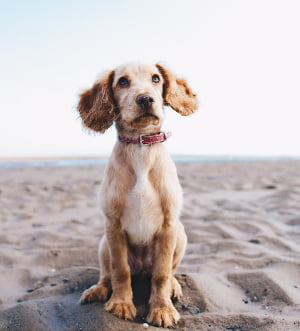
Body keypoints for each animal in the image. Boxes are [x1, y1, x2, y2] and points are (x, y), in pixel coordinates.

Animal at [78, 63, 198, 330]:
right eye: (122, 82)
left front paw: (162, 309)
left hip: (181, 235)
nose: (145, 99)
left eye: (156, 79)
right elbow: (120, 270)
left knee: (168, 272)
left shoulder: (169, 226)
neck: (140, 147)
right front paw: (121, 303)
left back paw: (174, 286)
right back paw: (98, 289)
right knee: (108, 274)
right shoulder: (113, 225)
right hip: (104, 243)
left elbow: (161, 274)